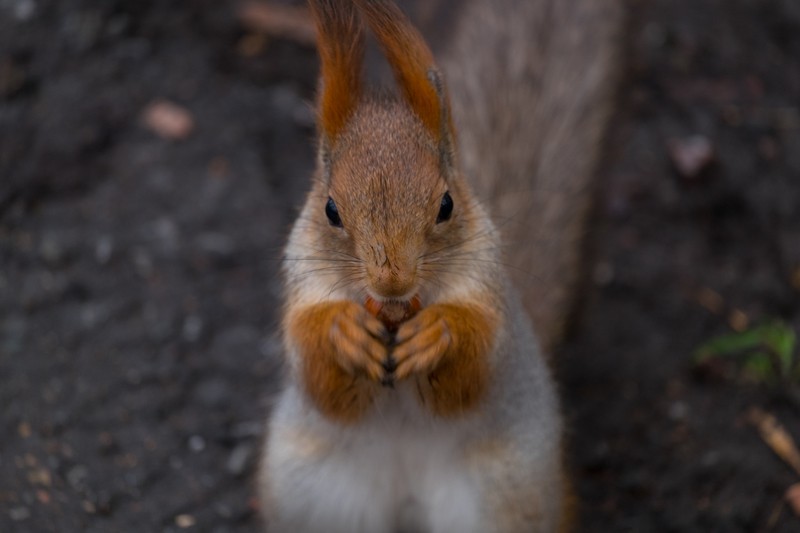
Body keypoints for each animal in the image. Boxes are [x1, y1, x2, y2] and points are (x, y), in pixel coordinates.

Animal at [260, 1, 620, 532]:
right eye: (330, 210)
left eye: (446, 205)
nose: (392, 281)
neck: (399, 308)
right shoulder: (303, 287)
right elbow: (320, 378)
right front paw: (343, 332)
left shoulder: (490, 296)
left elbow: (472, 369)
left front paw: (439, 334)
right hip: (312, 493)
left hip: (505, 498)